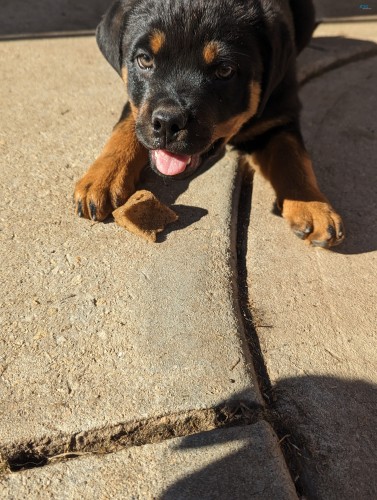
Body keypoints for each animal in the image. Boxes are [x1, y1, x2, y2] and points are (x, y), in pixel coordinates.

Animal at [73, 0, 344, 248]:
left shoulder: (280, 114)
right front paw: (103, 177)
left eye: (225, 70)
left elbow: (293, 158)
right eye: (144, 60)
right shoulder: (138, 107)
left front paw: (313, 206)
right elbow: (127, 126)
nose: (167, 123)